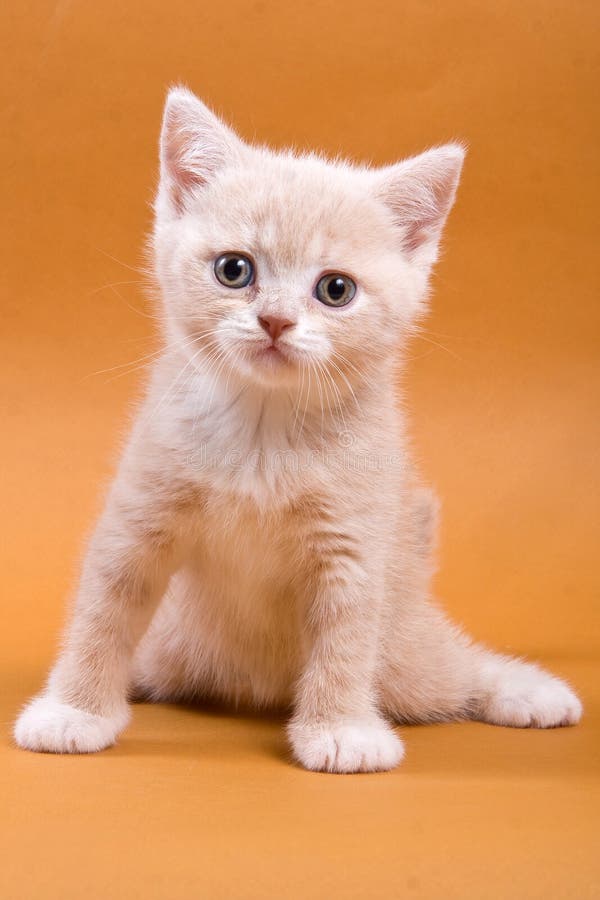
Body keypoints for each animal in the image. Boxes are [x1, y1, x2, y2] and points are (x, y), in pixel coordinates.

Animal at [14, 88, 580, 768]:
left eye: (335, 289)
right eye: (234, 270)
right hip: (172, 646)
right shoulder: (138, 515)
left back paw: (531, 692)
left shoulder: (356, 540)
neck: (265, 429)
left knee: (456, 669)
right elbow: (102, 611)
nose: (276, 321)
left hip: (410, 661)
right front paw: (73, 710)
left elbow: (346, 637)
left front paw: (340, 730)